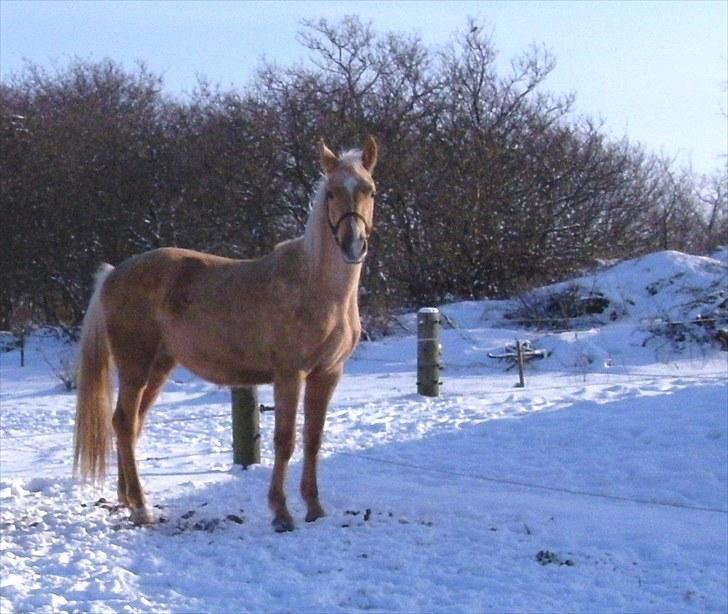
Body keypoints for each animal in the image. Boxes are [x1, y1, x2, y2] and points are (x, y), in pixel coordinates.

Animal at [72, 137, 382, 532]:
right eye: (331, 193)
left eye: (369, 190)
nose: (352, 244)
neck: (316, 285)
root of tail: (112, 275)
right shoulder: (289, 375)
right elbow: (285, 441)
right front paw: (281, 513)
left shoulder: (327, 374)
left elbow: (313, 440)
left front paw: (314, 508)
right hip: (135, 367)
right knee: (125, 424)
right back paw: (141, 508)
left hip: (159, 367)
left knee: (131, 424)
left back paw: (128, 499)